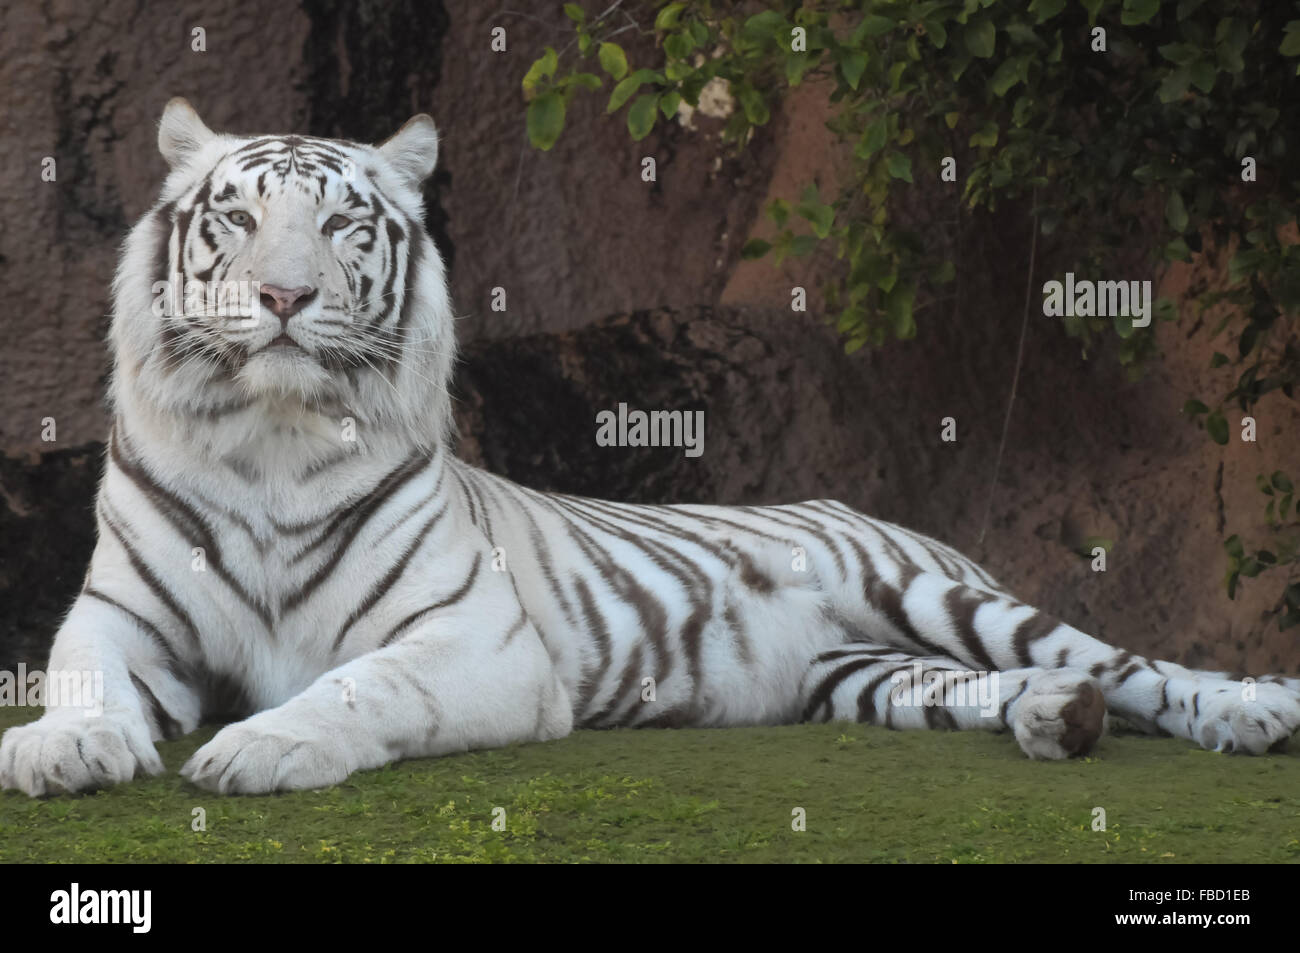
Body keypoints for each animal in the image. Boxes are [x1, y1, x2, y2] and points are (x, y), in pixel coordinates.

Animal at [2, 98, 1298, 797]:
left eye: (342, 224)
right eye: (235, 215)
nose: (281, 295)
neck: (274, 439)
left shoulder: (473, 639)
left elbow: (359, 683)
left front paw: (260, 747)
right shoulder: (122, 614)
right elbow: (78, 672)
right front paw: (61, 749)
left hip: (939, 592)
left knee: (1131, 663)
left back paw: (1243, 713)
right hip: (862, 672)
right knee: (1019, 685)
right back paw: (1056, 720)